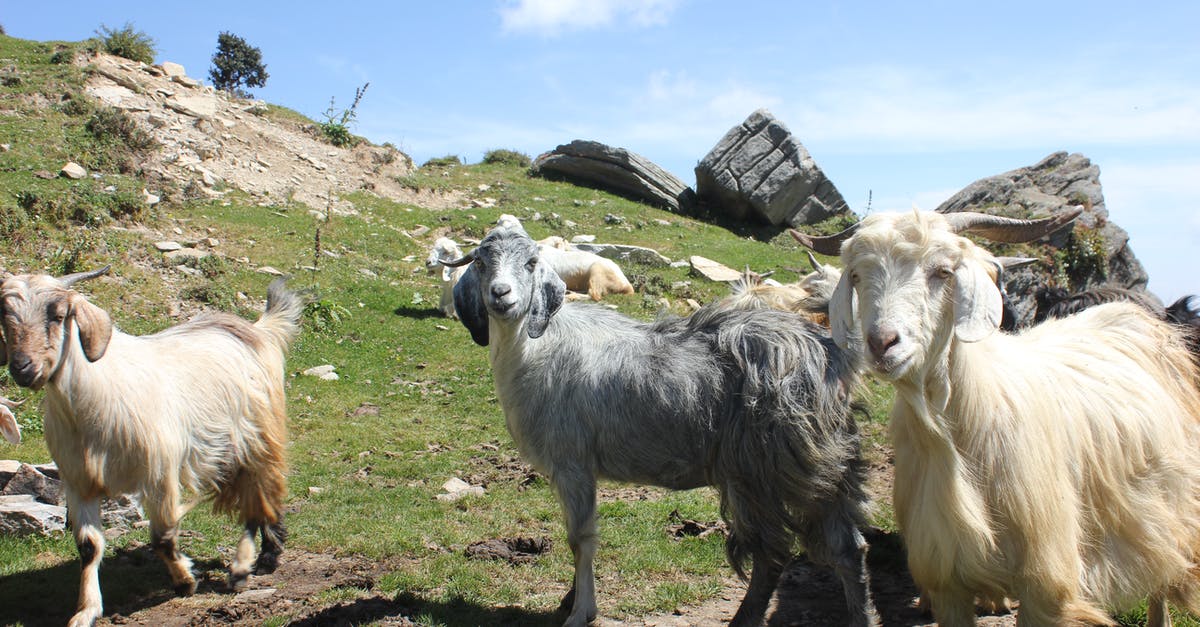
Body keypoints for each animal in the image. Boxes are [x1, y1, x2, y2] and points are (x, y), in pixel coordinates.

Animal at [0, 267, 304, 627]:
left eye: (58, 315)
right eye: (5, 316)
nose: (23, 368)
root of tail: (257, 330)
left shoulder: (159, 474)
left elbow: (163, 537)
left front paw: (185, 580)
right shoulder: (78, 482)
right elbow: (88, 546)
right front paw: (85, 611)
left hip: (255, 440)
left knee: (257, 499)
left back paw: (248, 566)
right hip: (223, 451)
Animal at [446, 223, 878, 627]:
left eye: (532, 263)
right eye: (481, 263)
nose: (501, 295)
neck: (537, 347)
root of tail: (830, 352)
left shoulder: (573, 464)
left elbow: (580, 539)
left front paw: (581, 610)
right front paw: (570, 599)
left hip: (761, 471)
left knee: (773, 555)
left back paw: (745, 618)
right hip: (823, 467)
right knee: (848, 547)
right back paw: (861, 617)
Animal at [797, 209, 1200, 626]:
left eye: (943, 271)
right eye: (857, 275)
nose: (882, 343)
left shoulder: (1045, 582)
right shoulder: (946, 578)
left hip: (1165, 507)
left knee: (1163, 573)